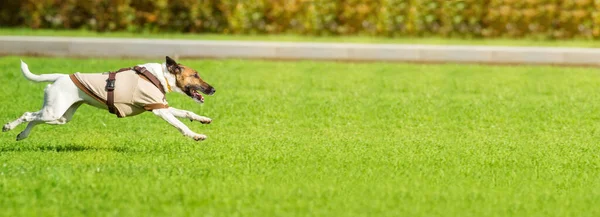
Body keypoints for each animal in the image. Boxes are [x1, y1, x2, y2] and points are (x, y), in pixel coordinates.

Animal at [1, 56, 218, 141]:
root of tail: (61, 77)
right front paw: (196, 135)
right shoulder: (159, 110)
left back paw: (22, 135)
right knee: (27, 115)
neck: (160, 76)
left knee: (34, 118)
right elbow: (181, 125)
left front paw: (204, 119)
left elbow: (187, 113)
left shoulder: (161, 106)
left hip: (59, 116)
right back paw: (9, 127)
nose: (214, 89)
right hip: (54, 112)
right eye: (195, 75)